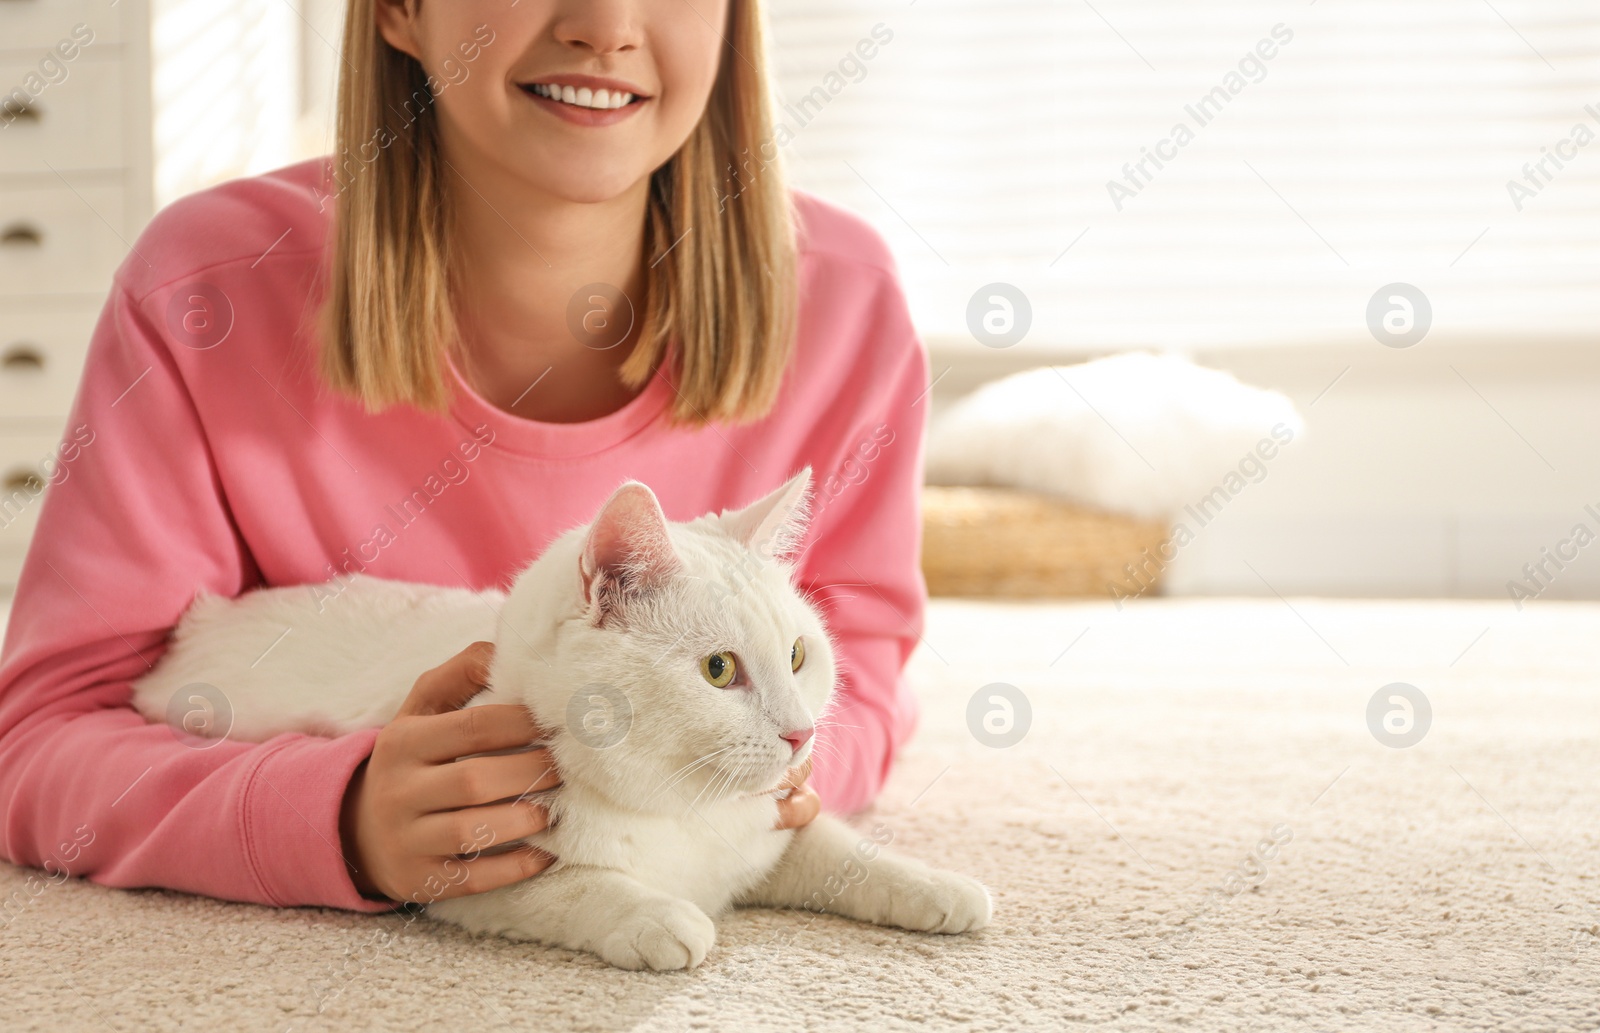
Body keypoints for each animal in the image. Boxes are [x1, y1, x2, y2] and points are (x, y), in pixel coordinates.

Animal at [134, 470, 985, 972]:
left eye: (802, 653)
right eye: (719, 669)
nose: (801, 733)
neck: (682, 814)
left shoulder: (772, 826)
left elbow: (844, 851)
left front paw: (938, 884)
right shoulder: (463, 879)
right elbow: (579, 887)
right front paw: (660, 916)